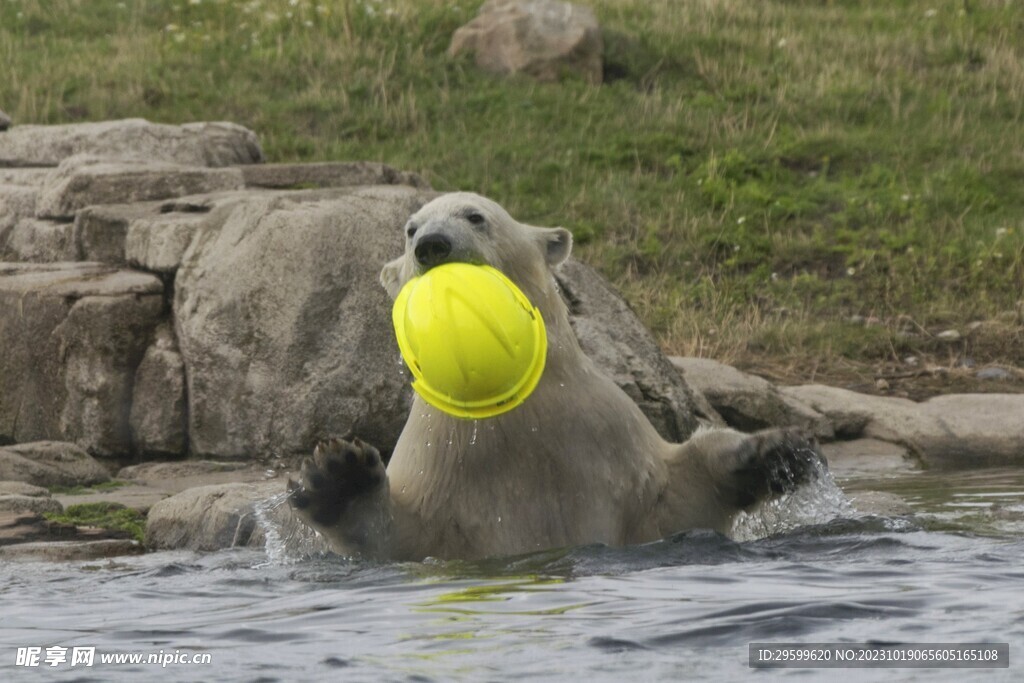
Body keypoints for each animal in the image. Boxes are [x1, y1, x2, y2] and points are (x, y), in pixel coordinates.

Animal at [288, 192, 823, 561]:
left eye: (475, 216)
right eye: (409, 228)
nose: (431, 245)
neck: (509, 407)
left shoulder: (604, 439)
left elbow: (674, 497)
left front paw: (774, 452)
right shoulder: (443, 464)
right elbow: (403, 535)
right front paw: (342, 476)